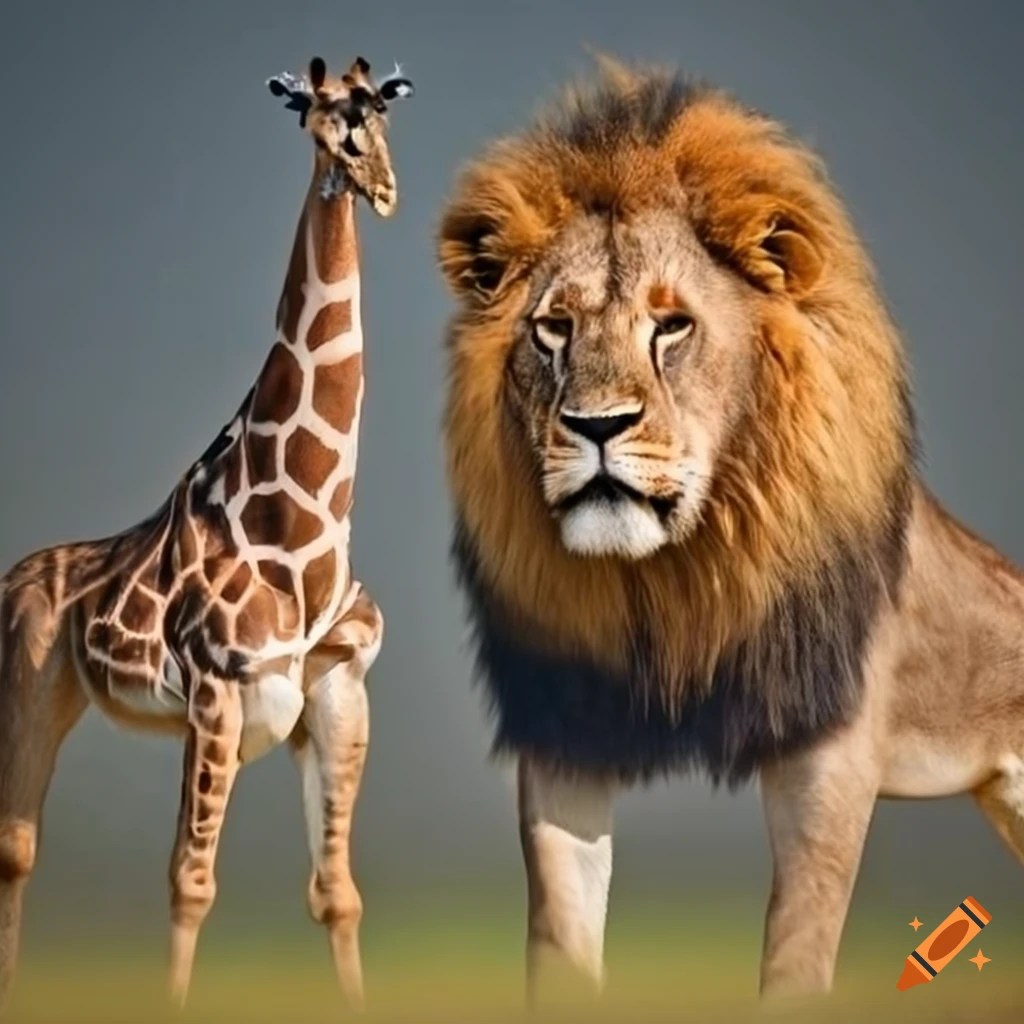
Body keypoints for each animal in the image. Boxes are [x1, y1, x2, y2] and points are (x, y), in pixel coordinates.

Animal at [0, 54, 413, 1012]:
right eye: (316, 112)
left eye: (379, 111)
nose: (379, 185)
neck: (300, 525)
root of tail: (13, 577)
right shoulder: (215, 698)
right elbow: (190, 882)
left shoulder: (339, 693)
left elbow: (337, 895)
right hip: (26, 683)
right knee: (16, 847)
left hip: (66, 693)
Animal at [435, 58, 1024, 1001]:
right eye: (554, 328)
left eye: (671, 325)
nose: (596, 425)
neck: (670, 578)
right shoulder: (564, 737)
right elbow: (560, 939)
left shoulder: (827, 746)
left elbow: (795, 957)